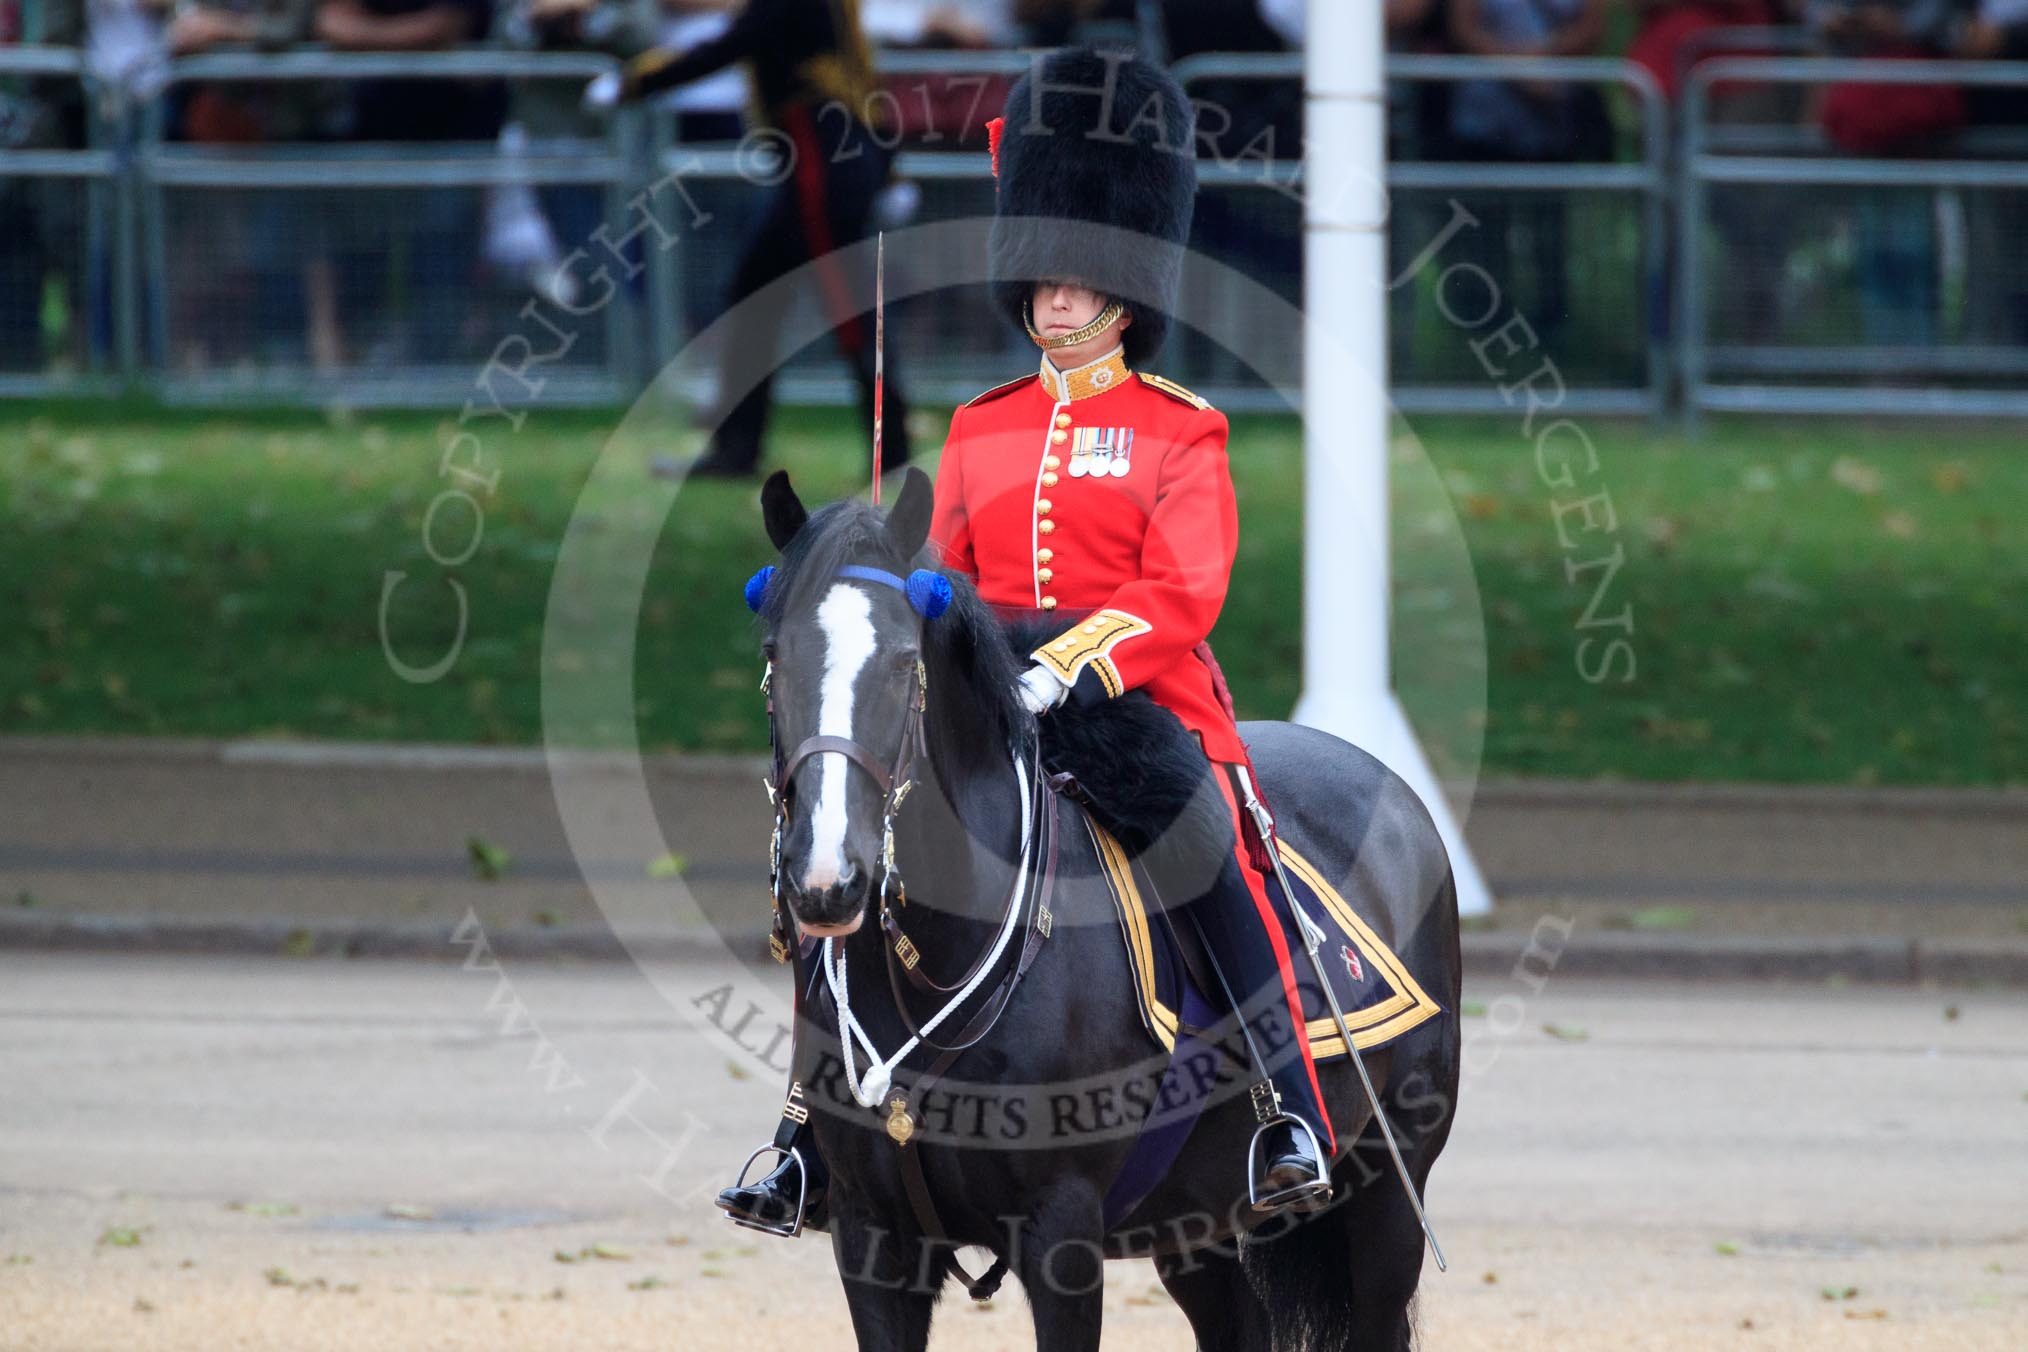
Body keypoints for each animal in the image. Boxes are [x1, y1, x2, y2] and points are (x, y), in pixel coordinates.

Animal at [758, 468, 1460, 1352]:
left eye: (901, 662)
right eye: (774, 658)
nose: (827, 879)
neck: (937, 960)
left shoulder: (1062, 1235)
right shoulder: (871, 1241)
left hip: (1388, 1197)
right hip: (1200, 1224)